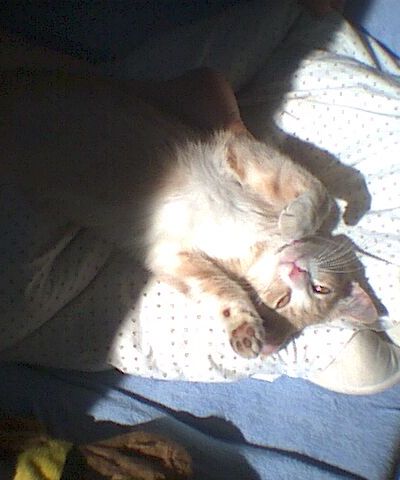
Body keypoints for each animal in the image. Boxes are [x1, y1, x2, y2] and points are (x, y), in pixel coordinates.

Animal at [1, 70, 378, 359]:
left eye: (284, 300)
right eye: (319, 288)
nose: (295, 271)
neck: (255, 242)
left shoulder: (172, 255)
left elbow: (220, 289)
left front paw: (243, 328)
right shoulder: (245, 154)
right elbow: (321, 193)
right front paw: (307, 217)